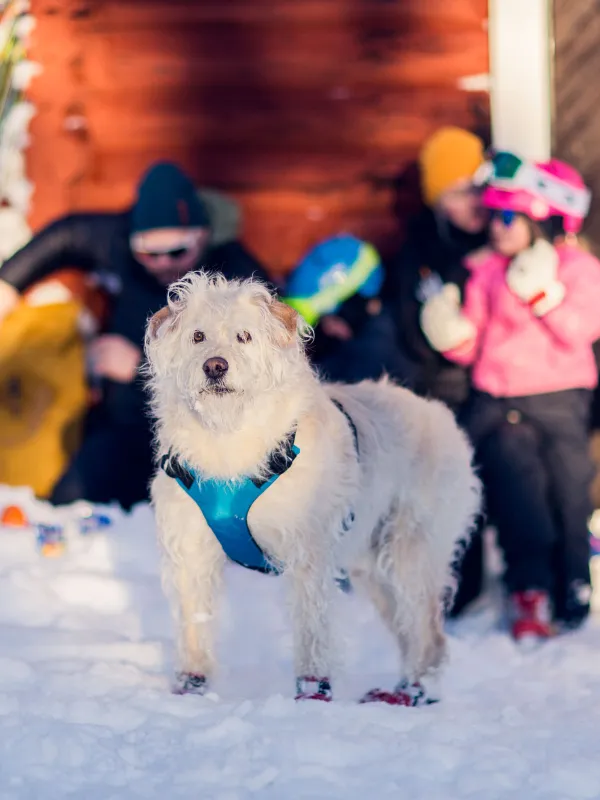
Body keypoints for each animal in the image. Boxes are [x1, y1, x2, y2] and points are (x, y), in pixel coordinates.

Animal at [143, 274, 480, 708]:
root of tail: (440, 415)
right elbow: (194, 621)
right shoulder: (192, 550)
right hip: (372, 567)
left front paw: (313, 692)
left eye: (243, 336)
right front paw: (191, 686)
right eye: (197, 336)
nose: (215, 366)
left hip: (410, 552)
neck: (228, 441)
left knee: (427, 630)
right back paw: (399, 690)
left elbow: (311, 626)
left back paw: (414, 691)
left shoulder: (308, 552)